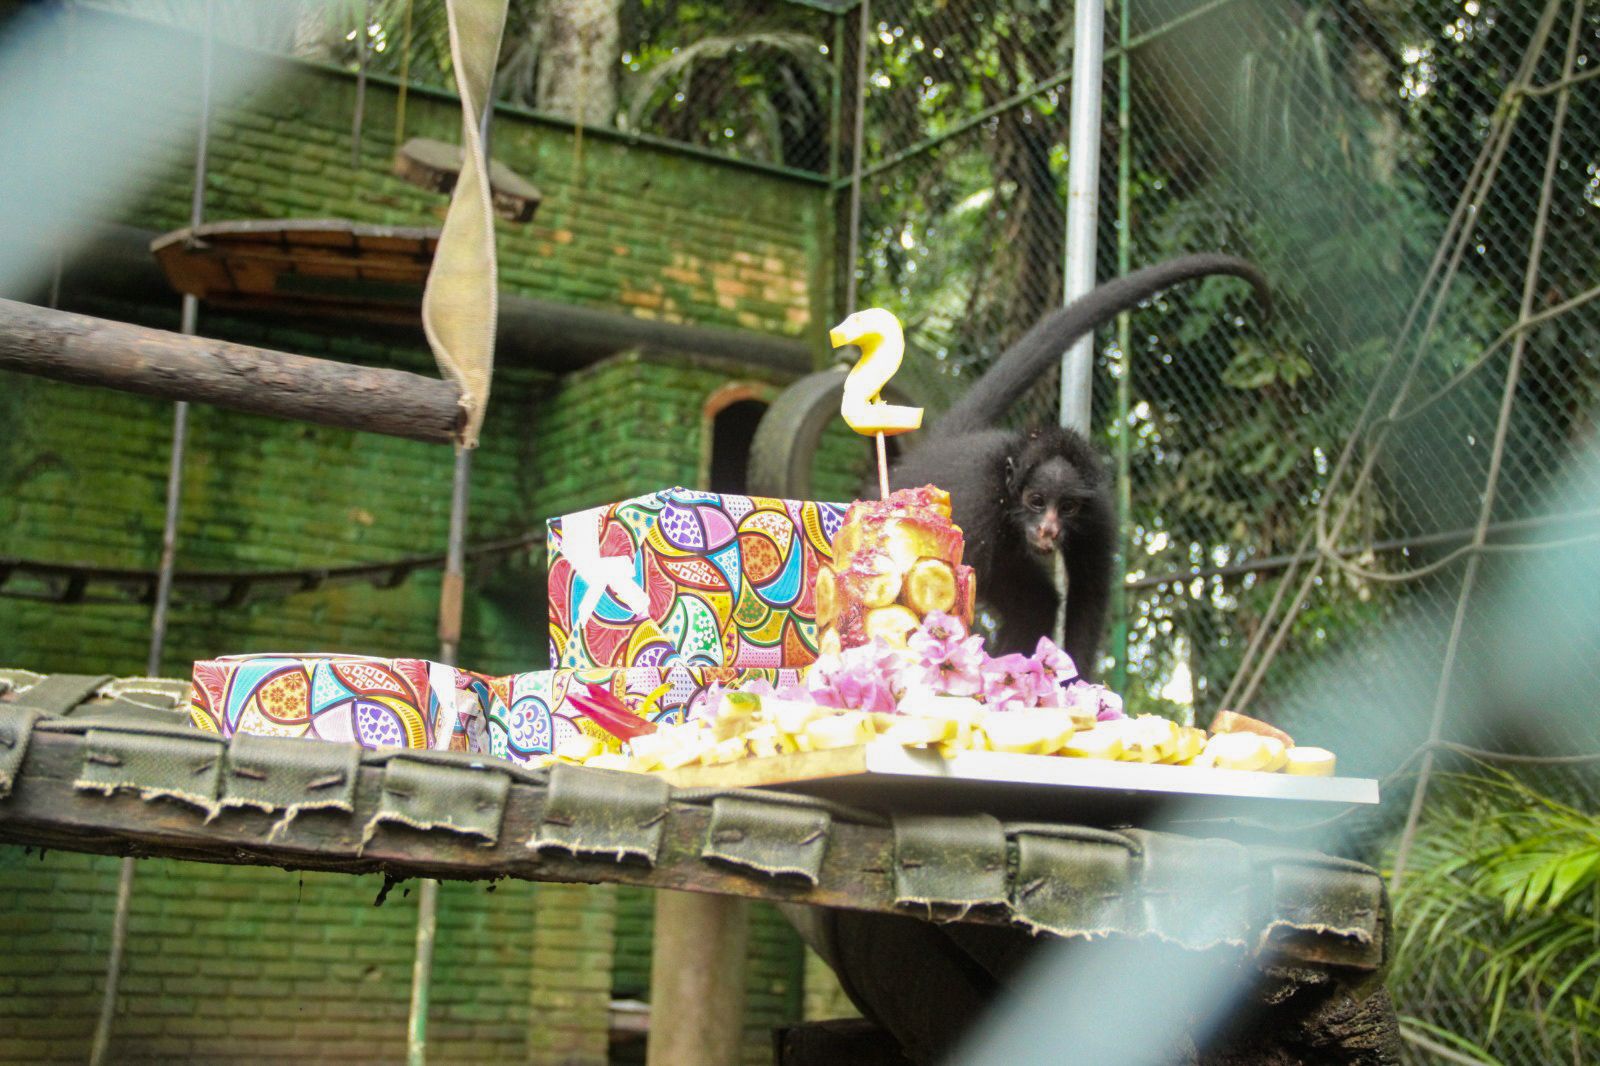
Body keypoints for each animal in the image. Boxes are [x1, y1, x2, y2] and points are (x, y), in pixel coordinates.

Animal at [883, 252, 1267, 675]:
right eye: (1036, 501)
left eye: (1066, 507)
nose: (1049, 529)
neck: (1007, 477)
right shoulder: (980, 510)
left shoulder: (1096, 511)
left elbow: (1089, 593)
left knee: (1038, 602)